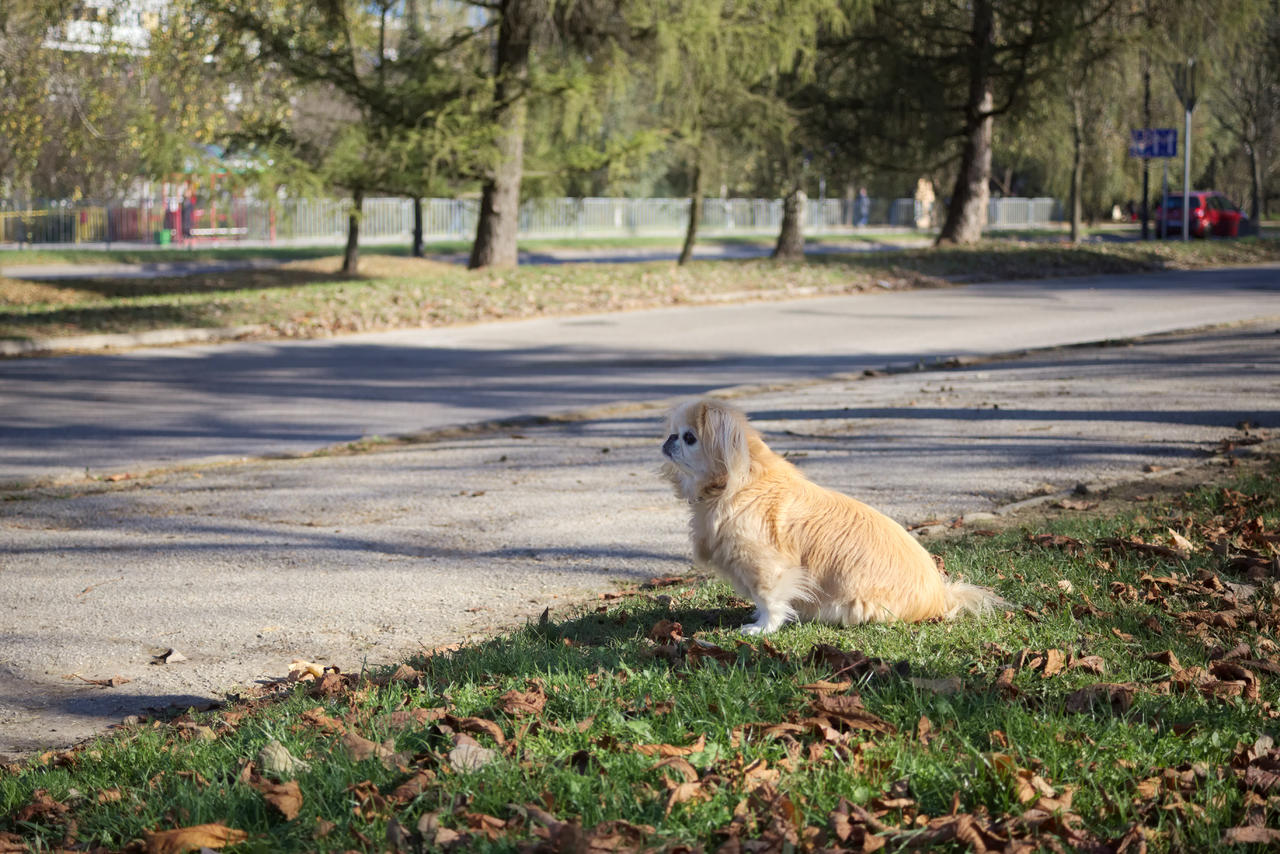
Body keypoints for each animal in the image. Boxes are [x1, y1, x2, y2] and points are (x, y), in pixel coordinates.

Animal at [660, 396, 1008, 632]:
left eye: (689, 437)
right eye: (674, 433)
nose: (668, 440)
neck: (740, 482)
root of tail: (941, 598)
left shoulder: (764, 565)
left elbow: (769, 599)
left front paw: (762, 628)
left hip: (848, 604)